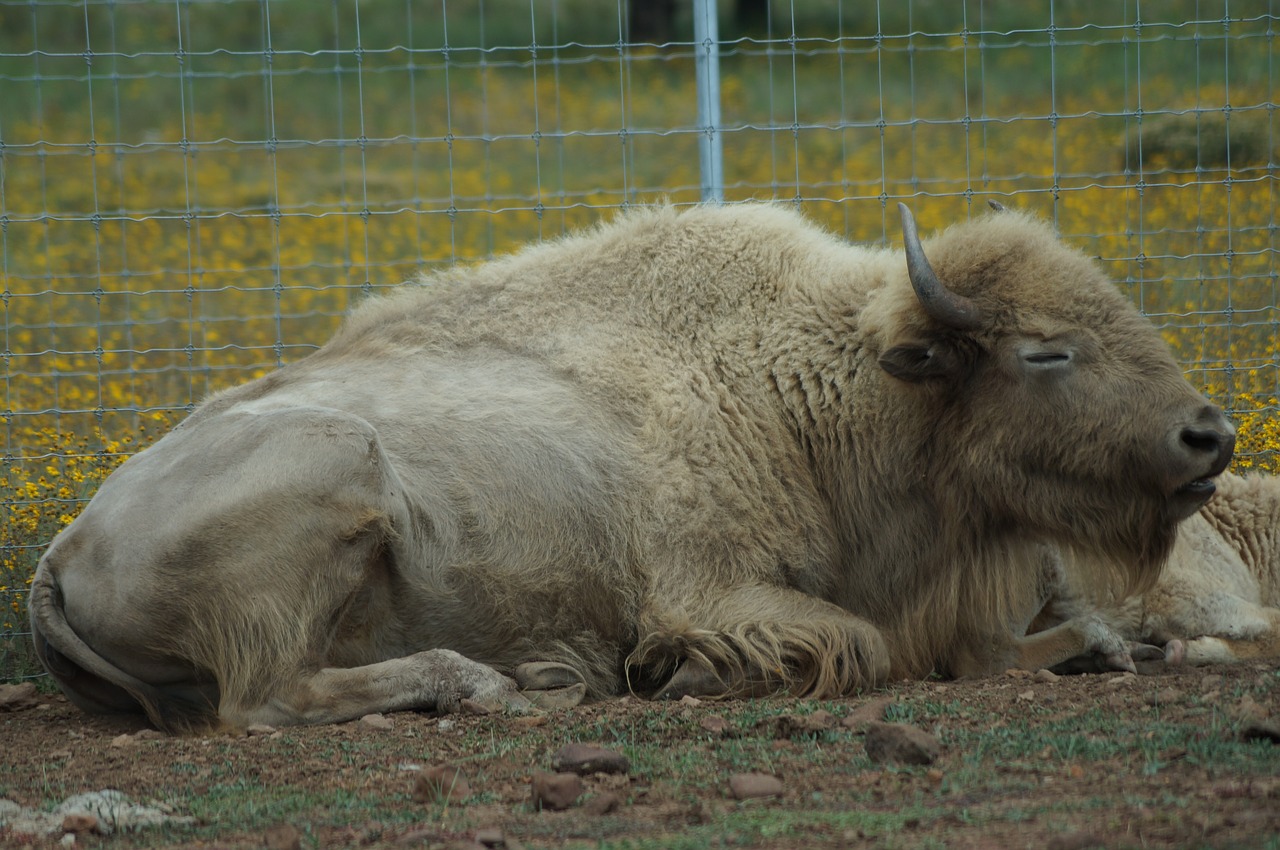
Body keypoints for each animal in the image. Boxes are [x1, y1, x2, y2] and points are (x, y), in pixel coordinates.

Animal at [30, 200, 1233, 732]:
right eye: (1046, 350)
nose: (1208, 435)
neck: (807, 384)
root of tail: (64, 547)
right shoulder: (716, 588)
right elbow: (861, 645)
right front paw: (675, 673)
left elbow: (1021, 644)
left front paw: (1107, 649)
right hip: (338, 468)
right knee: (265, 699)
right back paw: (492, 684)